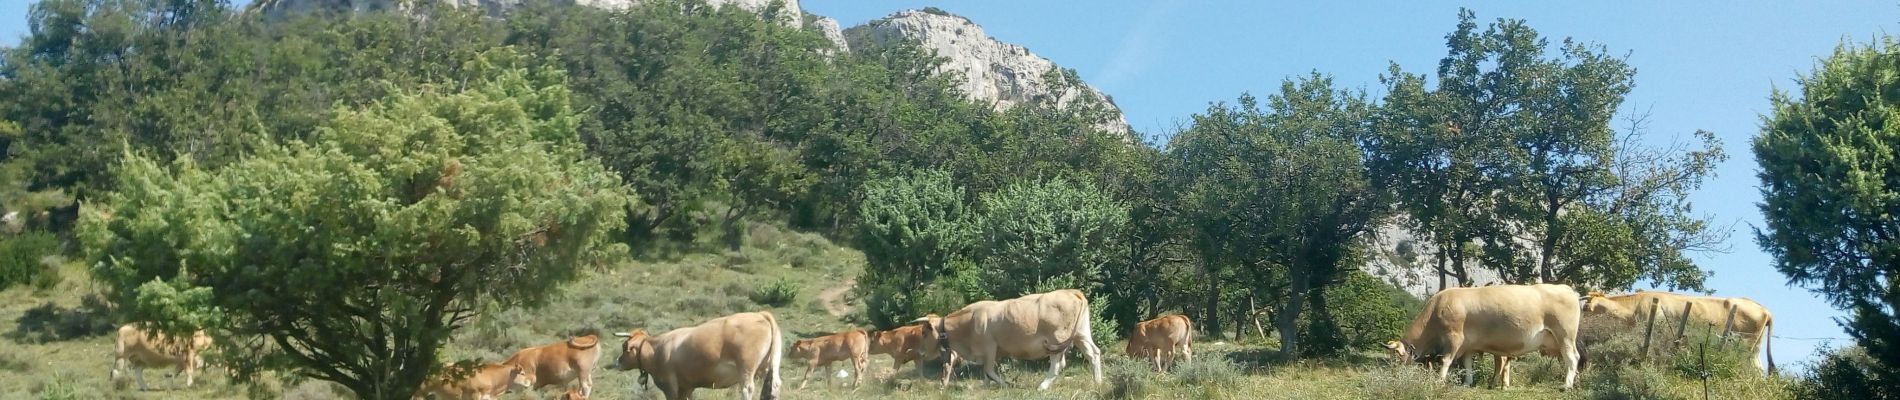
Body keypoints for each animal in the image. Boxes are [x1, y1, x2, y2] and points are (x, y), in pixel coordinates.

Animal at [611, 312, 782, 400]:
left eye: (624, 346)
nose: (617, 362)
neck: (658, 349)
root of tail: (759, 314)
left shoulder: (669, 386)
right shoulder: (686, 387)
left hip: (746, 368)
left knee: (747, 389)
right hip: (768, 367)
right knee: (773, 386)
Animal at [915, 288, 1109, 388]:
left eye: (924, 333)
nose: (921, 352)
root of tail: (1071, 291)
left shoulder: (989, 347)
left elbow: (989, 370)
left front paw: (1005, 384)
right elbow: (986, 372)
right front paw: (986, 386)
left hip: (1057, 339)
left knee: (1057, 365)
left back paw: (1042, 386)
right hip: (1081, 334)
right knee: (1093, 353)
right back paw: (1098, 381)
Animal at [1390, 284, 1580, 390]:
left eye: (1398, 357)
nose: (1395, 376)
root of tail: (1565, 287)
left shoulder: (1454, 338)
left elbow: (1446, 360)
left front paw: (1439, 381)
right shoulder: (1468, 345)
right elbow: (1467, 364)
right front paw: (1467, 383)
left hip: (1565, 335)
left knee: (1571, 358)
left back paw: (1567, 385)